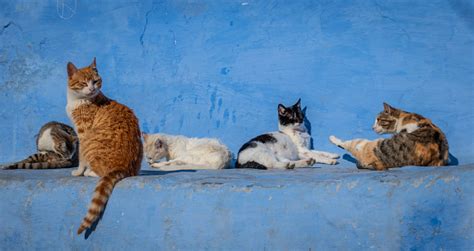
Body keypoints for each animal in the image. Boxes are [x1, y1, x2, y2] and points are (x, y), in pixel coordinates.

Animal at [66, 57, 143, 234]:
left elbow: (81, 158)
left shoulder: (83, 134)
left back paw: (90, 172)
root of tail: (124, 167)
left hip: (91, 142)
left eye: (95, 81)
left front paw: (79, 171)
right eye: (83, 83)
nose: (92, 88)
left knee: (101, 172)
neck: (77, 100)